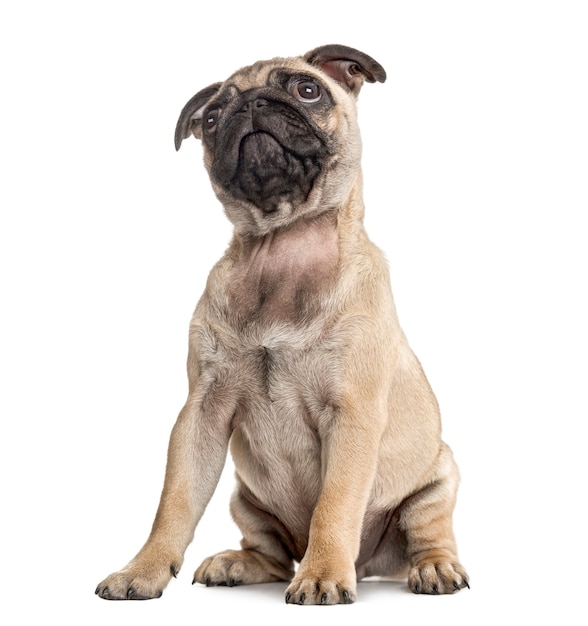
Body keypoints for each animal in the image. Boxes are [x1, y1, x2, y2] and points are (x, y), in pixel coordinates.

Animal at [95, 45, 468, 604]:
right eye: (211, 118)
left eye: (306, 90)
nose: (250, 103)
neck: (283, 247)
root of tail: (372, 565)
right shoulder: (200, 416)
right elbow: (174, 502)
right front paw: (143, 569)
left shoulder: (351, 417)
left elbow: (334, 505)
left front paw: (322, 574)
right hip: (245, 499)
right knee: (269, 553)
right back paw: (235, 562)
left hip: (436, 482)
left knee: (429, 534)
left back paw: (434, 568)